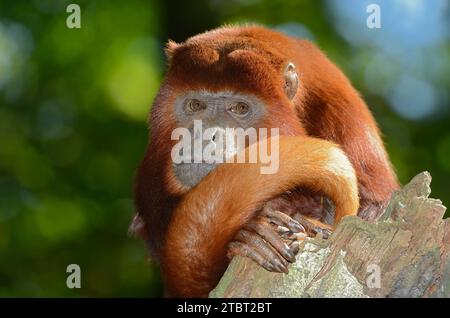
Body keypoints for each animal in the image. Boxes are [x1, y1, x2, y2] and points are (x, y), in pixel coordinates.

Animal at [132, 26, 400, 296]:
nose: (205, 134)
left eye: (240, 108)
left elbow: (373, 205)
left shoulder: (343, 112)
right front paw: (250, 238)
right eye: (195, 104)